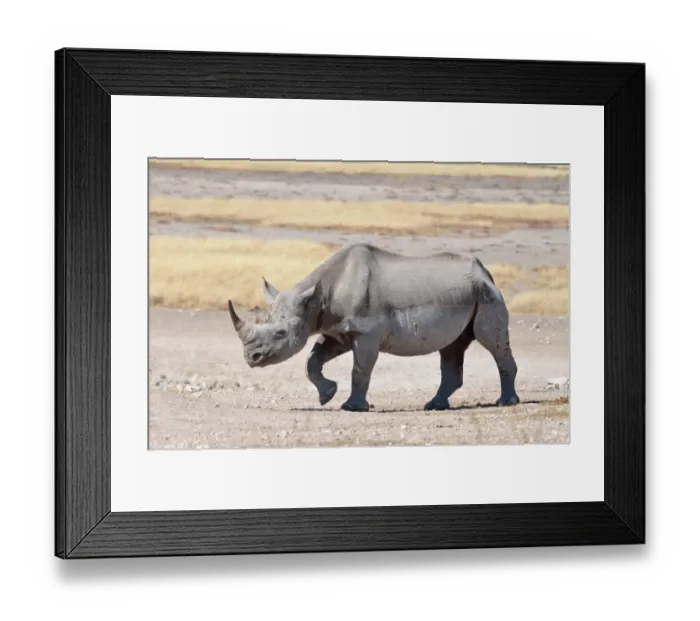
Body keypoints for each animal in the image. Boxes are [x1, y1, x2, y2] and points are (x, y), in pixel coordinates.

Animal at [227, 243, 519, 411]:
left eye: (280, 333)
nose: (250, 357)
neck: (317, 300)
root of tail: (485, 271)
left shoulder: (366, 332)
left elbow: (360, 369)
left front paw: (352, 407)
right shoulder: (337, 330)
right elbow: (312, 360)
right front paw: (326, 396)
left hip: (486, 294)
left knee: (490, 341)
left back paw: (505, 403)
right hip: (466, 293)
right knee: (452, 346)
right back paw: (435, 406)